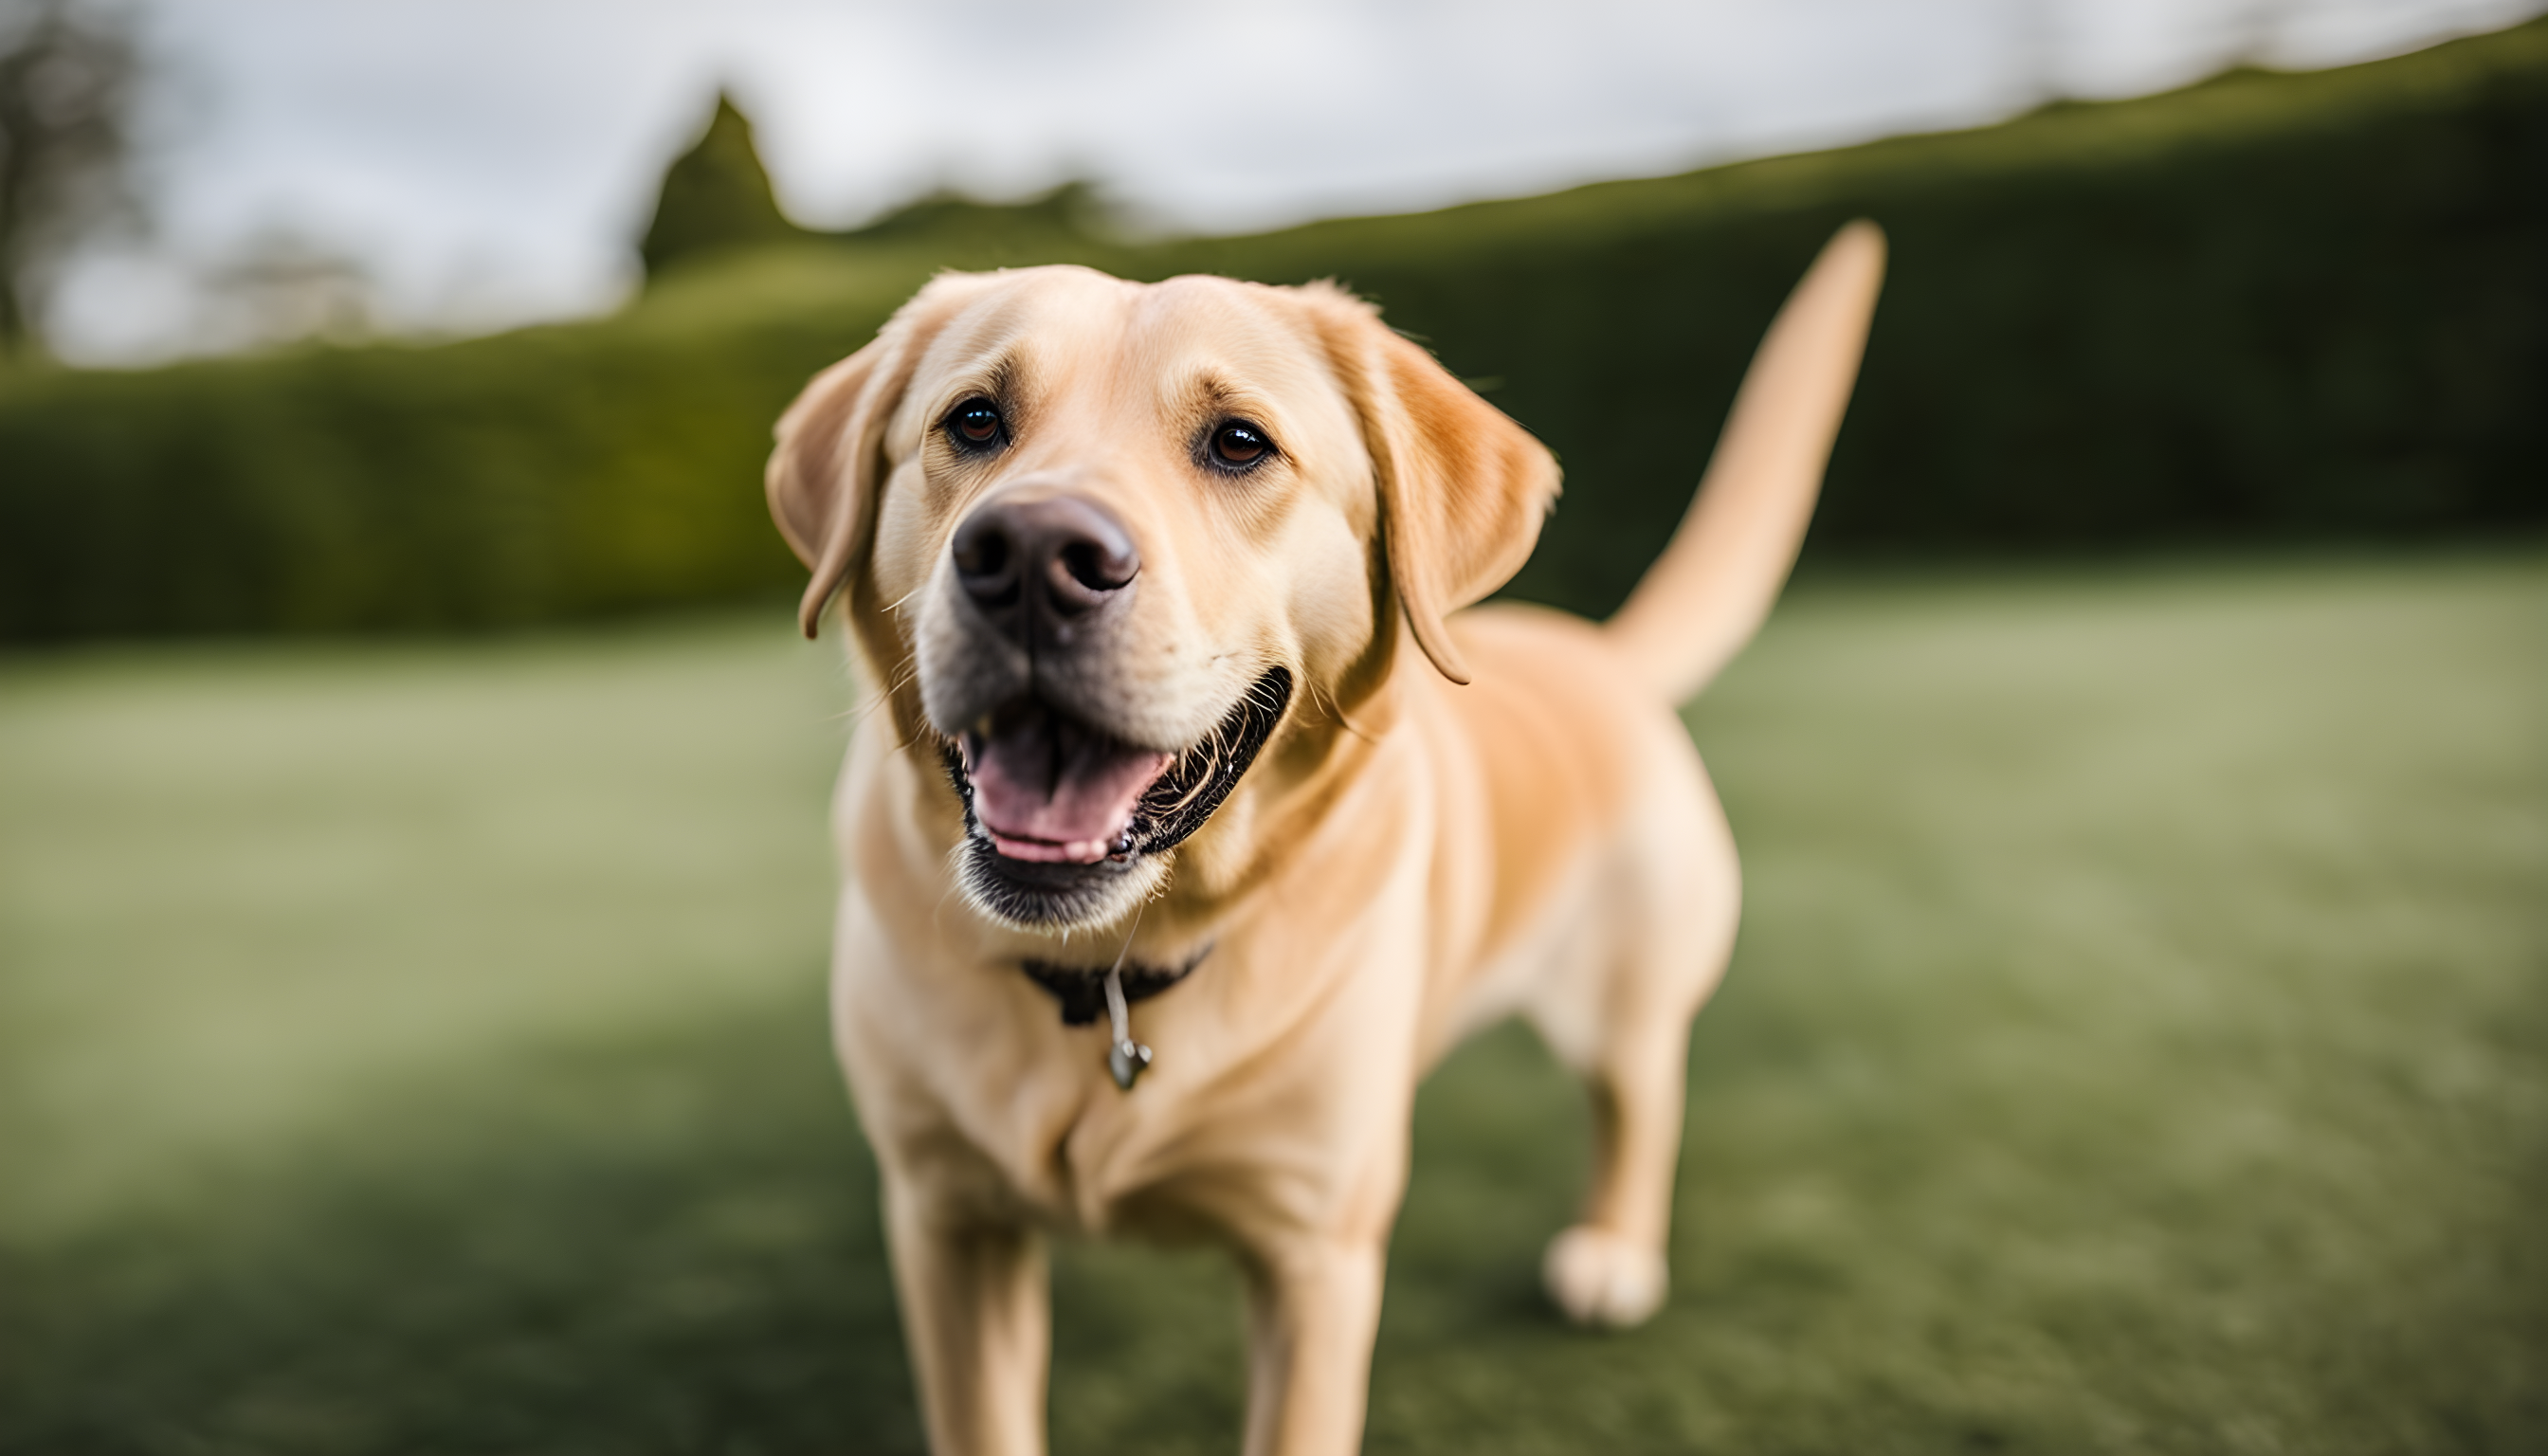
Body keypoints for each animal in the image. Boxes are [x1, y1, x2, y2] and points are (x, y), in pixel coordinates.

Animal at [764, 222, 1885, 1447]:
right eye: (974, 420)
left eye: (1239, 443)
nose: (1027, 556)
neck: (1110, 974)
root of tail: (1599, 652)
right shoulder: (949, 1223)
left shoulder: (1315, 1257)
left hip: (1631, 990)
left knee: (1638, 1100)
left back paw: (1614, 1250)